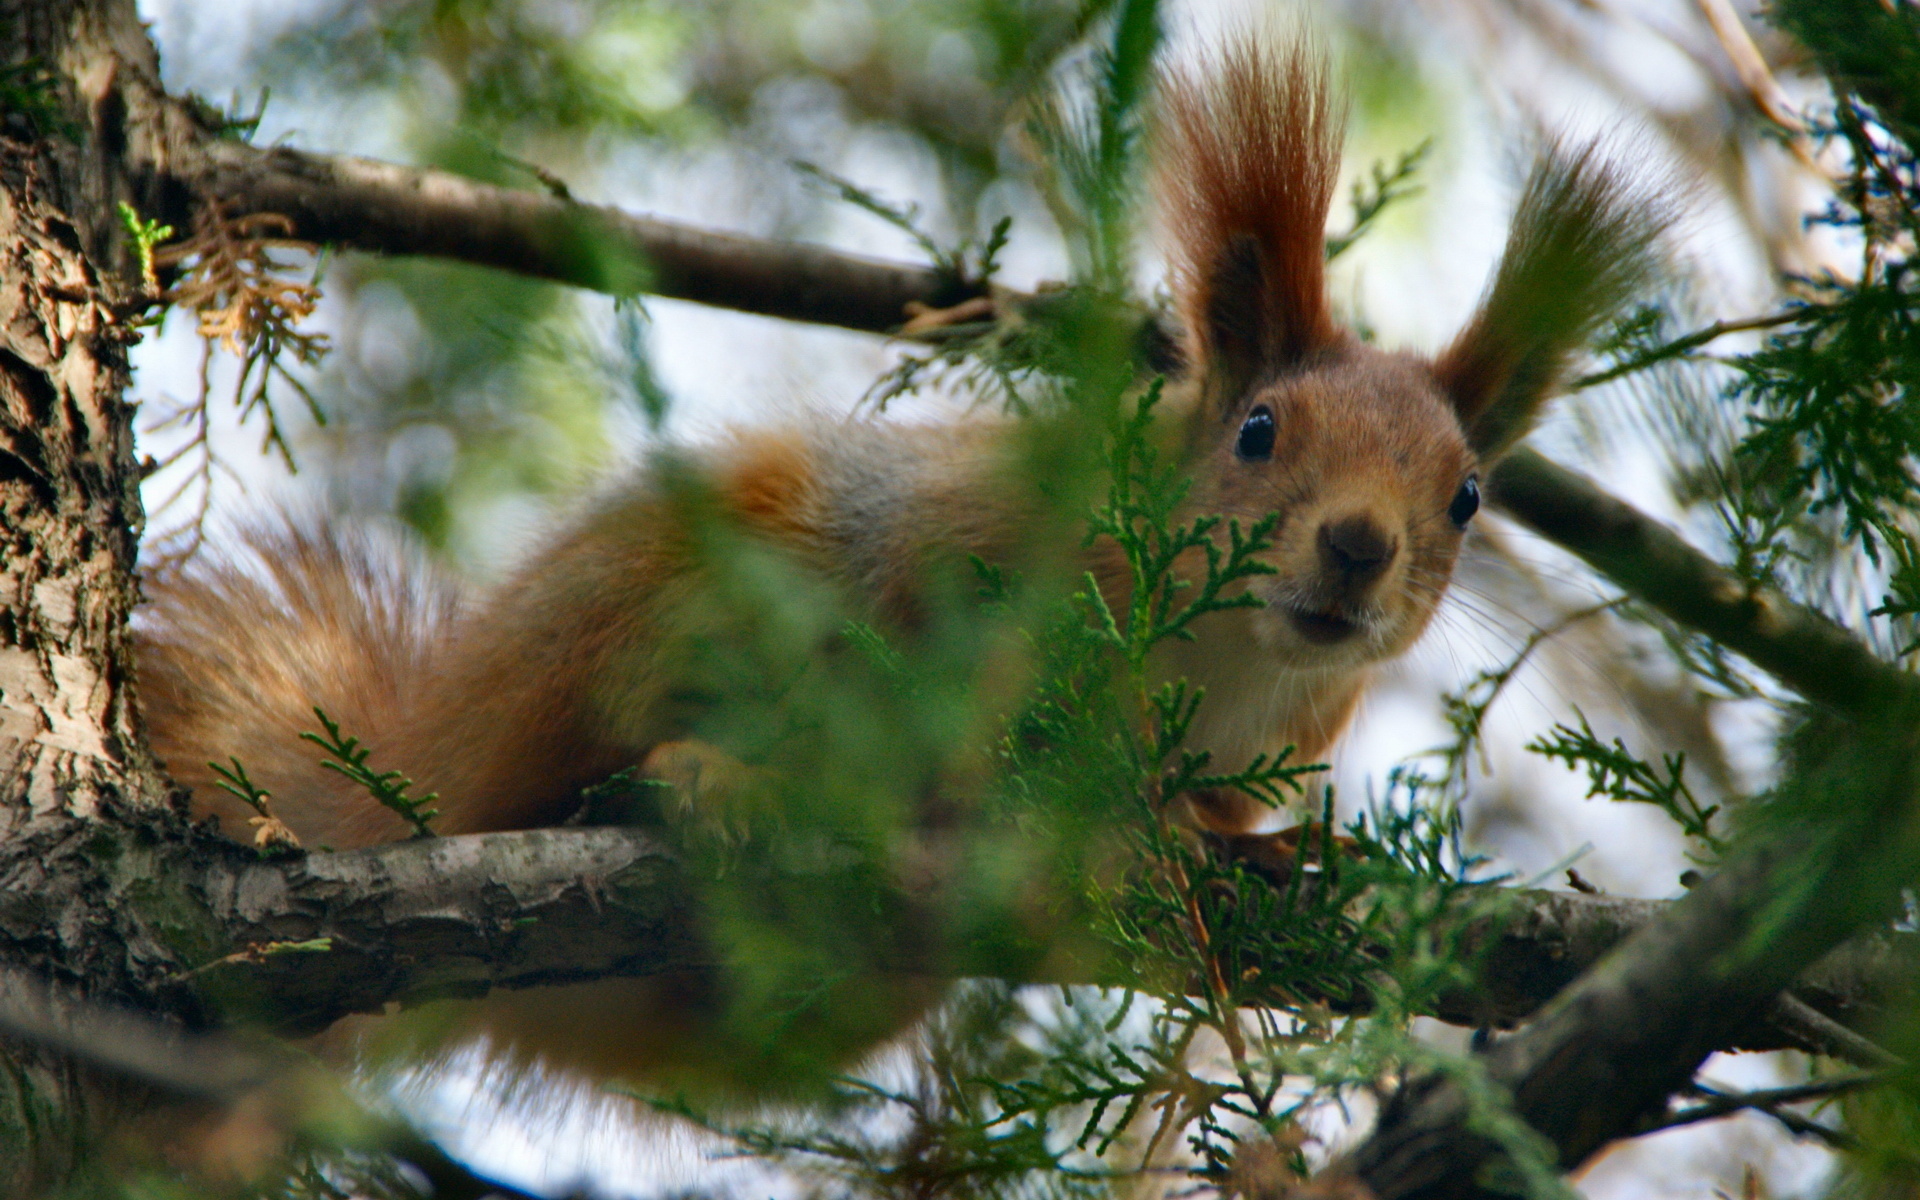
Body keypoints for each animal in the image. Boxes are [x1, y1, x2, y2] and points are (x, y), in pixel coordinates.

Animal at [135, 39, 1666, 1082]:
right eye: (1259, 430)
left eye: (1467, 496)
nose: (1357, 546)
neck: (1223, 649)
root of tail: (433, 754)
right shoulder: (977, 548)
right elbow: (953, 697)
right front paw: (1067, 819)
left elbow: (1218, 811)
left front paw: (1264, 850)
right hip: (655, 596)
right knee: (589, 768)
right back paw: (707, 781)